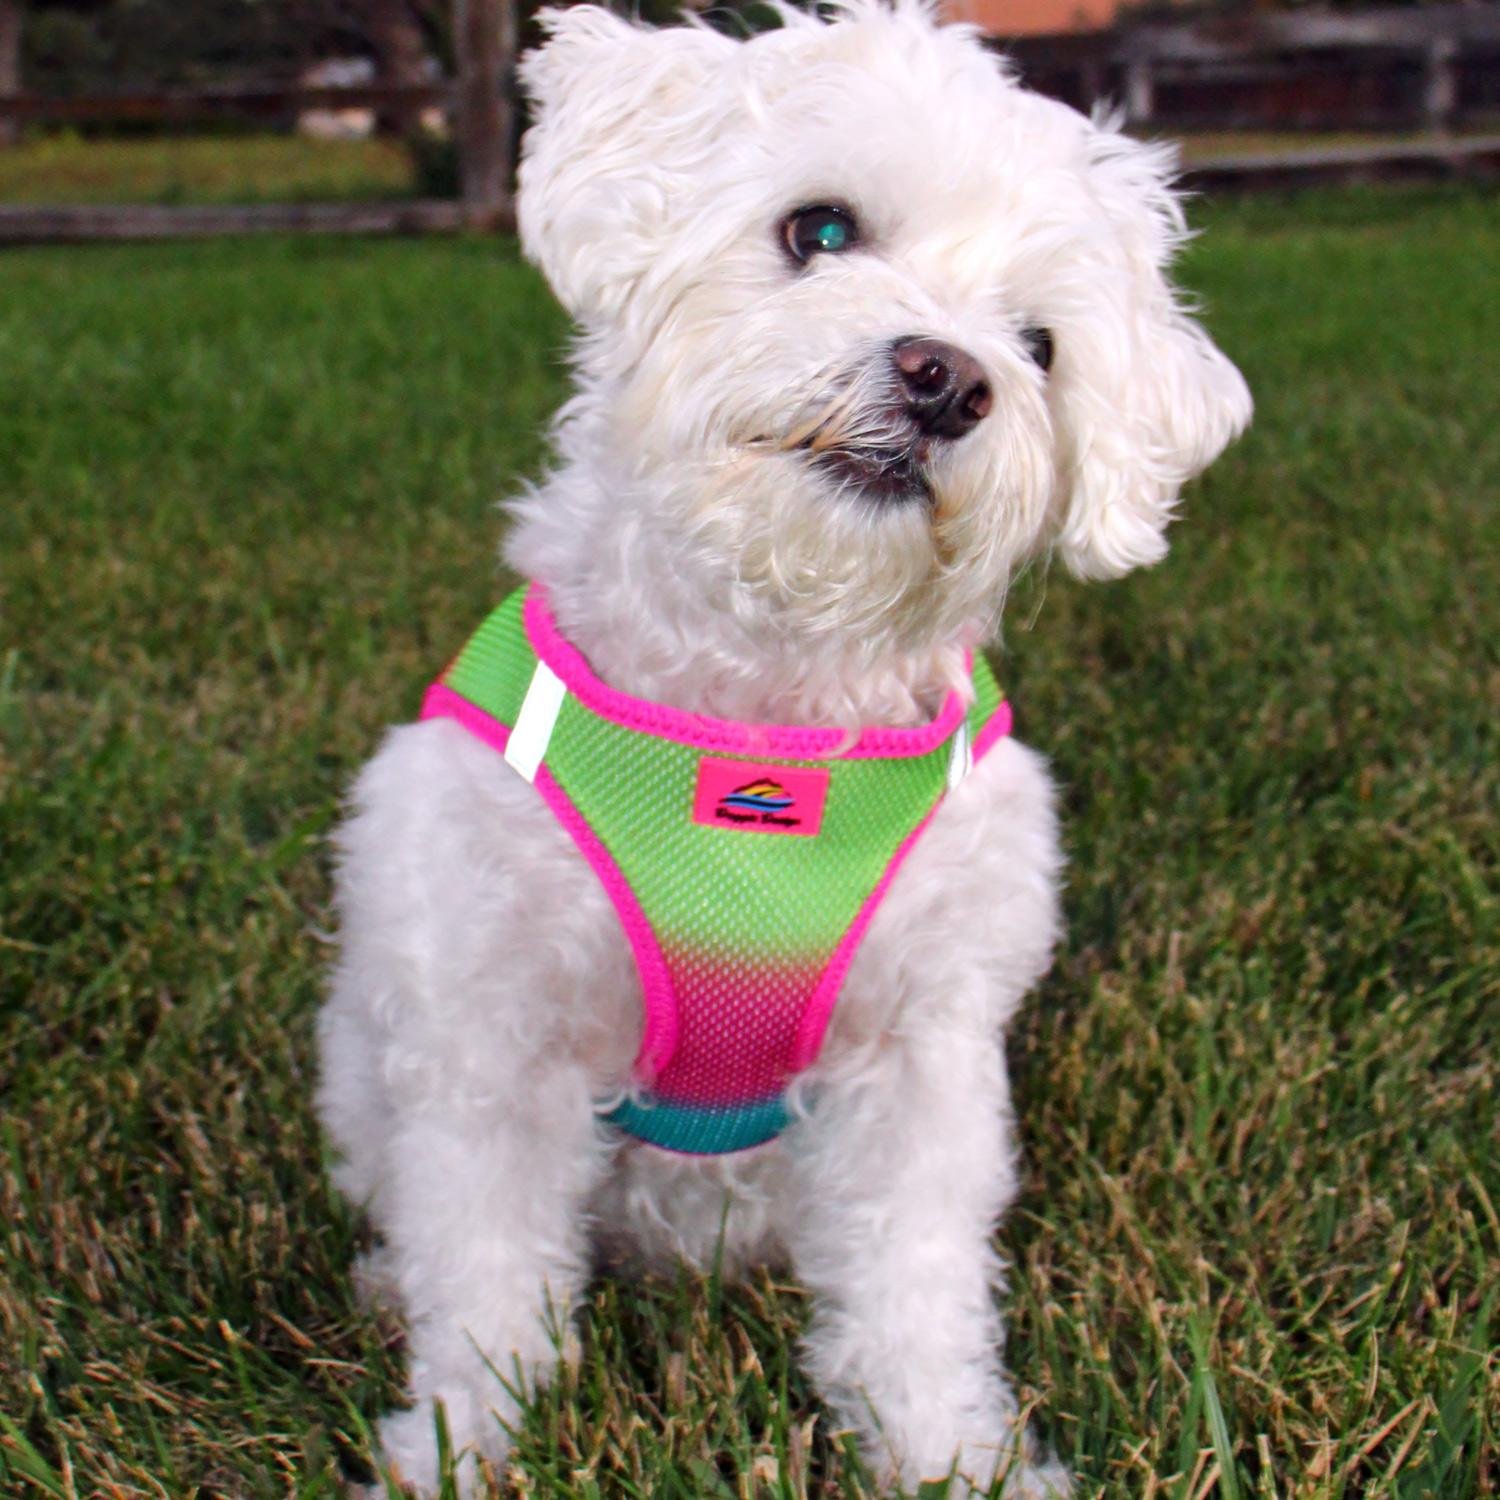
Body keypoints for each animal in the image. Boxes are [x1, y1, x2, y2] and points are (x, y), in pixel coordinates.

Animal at [315, 2, 1251, 1493]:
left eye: (1040, 345)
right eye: (820, 229)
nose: (947, 379)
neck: (761, 707)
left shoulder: (921, 1063)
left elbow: (916, 1295)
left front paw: (951, 1457)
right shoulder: (491, 1040)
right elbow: (488, 1289)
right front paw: (461, 1450)